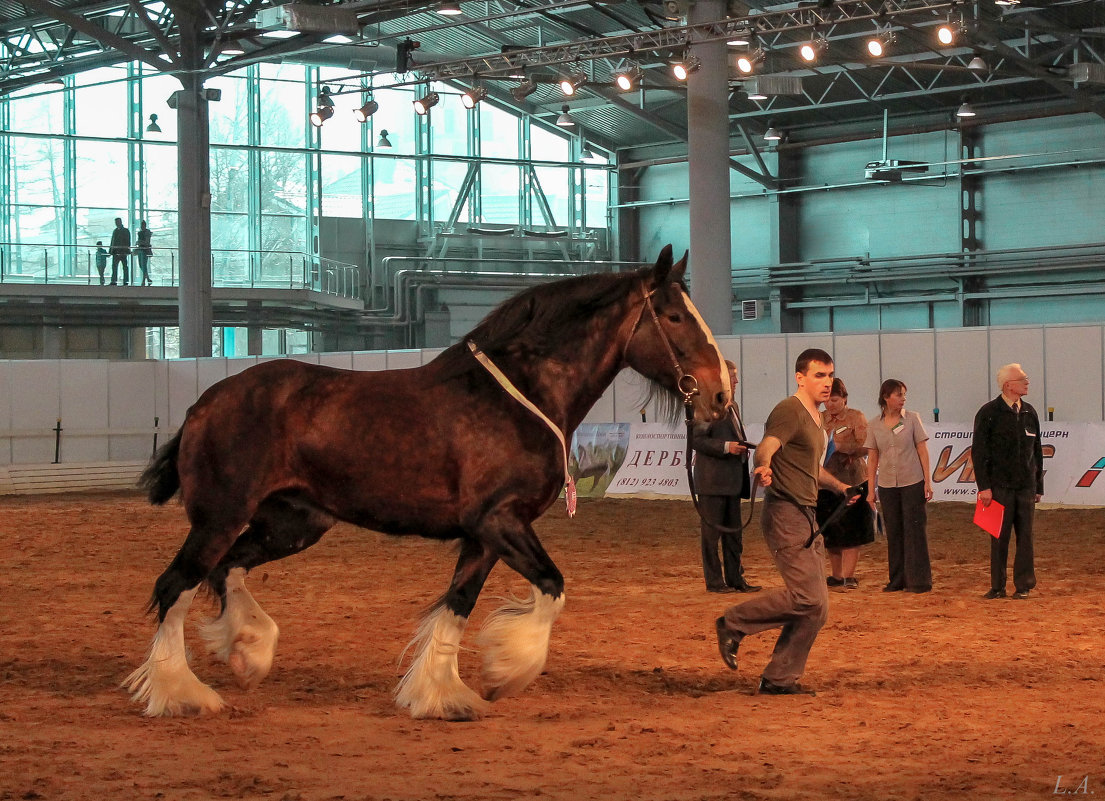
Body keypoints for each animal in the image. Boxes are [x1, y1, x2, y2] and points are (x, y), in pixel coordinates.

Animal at [123, 244, 733, 720]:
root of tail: (204, 404)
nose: (720, 391)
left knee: (226, 572)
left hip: (292, 524)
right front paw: (505, 672)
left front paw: (441, 695)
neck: (519, 398)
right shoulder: (500, 521)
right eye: (674, 317)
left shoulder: (485, 536)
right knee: (176, 586)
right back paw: (181, 693)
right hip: (221, 519)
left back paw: (249, 651)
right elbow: (552, 587)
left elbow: (457, 605)